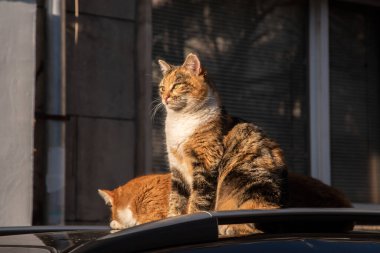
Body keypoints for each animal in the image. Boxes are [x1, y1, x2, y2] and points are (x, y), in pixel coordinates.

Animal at [158, 53, 288, 217]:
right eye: (162, 88)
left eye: (177, 85)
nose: (165, 98)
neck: (181, 120)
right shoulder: (176, 167)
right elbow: (176, 197)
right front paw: (172, 217)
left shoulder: (206, 160)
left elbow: (199, 197)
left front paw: (193, 214)